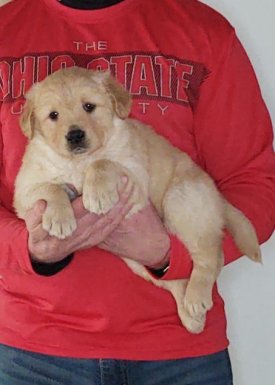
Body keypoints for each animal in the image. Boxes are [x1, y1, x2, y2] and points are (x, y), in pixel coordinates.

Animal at [14, 67, 262, 332]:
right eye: (53, 115)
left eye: (89, 106)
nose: (75, 136)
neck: (79, 162)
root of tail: (216, 195)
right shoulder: (24, 189)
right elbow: (50, 187)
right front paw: (60, 219)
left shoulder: (136, 175)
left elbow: (103, 163)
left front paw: (98, 194)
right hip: (138, 260)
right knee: (178, 278)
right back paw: (192, 317)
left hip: (182, 201)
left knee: (211, 255)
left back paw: (196, 298)